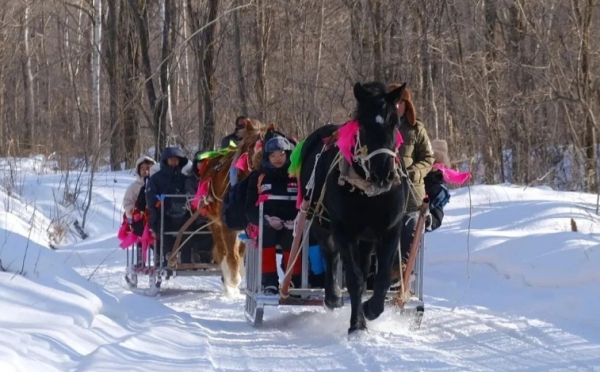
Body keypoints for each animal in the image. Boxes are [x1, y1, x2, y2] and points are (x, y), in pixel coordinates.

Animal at [298, 80, 408, 334]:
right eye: (364, 125)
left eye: (395, 123)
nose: (383, 175)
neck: (368, 193)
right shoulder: (344, 230)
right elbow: (355, 279)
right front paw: (357, 325)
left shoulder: (391, 229)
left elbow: (381, 278)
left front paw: (371, 309)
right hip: (320, 221)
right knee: (330, 254)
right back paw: (332, 297)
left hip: (366, 237)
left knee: (365, 263)